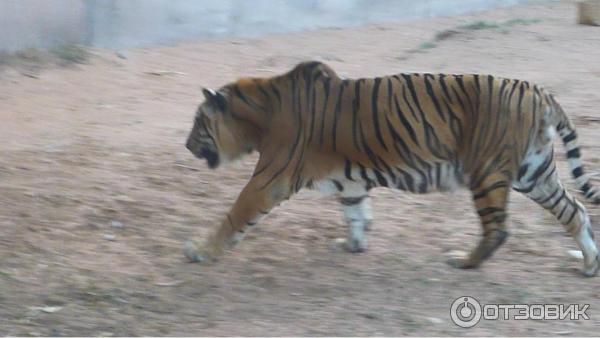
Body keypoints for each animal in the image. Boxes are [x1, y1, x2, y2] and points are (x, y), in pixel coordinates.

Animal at [184, 61, 600, 274]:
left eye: (198, 122)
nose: (187, 145)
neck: (259, 117)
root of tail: (539, 91)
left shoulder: (269, 179)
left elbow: (234, 215)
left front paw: (201, 251)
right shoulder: (349, 180)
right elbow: (354, 212)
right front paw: (352, 245)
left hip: (489, 172)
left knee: (498, 230)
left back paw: (464, 262)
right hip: (534, 173)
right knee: (575, 210)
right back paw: (590, 264)